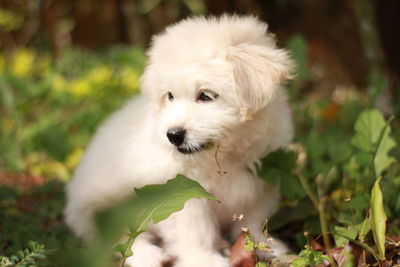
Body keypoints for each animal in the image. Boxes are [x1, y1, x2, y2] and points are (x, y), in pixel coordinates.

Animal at [65, 15, 294, 267]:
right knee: (122, 239)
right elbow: (197, 231)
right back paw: (149, 256)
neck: (224, 157)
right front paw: (205, 260)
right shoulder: (184, 193)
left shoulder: (262, 182)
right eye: (170, 96)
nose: (173, 135)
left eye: (206, 96)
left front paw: (264, 246)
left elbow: (253, 220)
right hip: (105, 205)